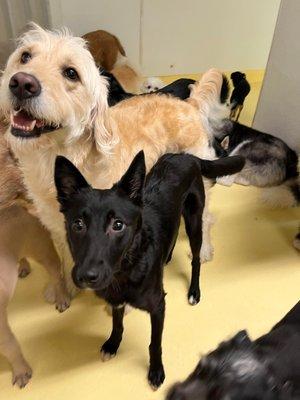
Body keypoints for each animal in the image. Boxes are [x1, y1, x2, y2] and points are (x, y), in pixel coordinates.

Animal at [54, 152, 244, 390]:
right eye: (78, 224)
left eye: (118, 225)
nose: (87, 276)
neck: (126, 269)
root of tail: (186, 156)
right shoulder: (116, 300)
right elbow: (117, 324)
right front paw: (113, 344)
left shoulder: (158, 306)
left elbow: (155, 343)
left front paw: (155, 371)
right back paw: (166, 257)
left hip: (194, 221)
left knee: (196, 259)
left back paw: (194, 291)